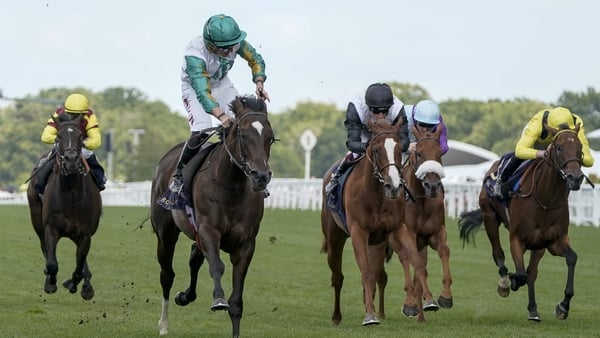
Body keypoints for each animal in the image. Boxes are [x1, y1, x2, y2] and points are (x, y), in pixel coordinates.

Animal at [26, 113, 102, 302]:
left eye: (80, 136)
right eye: (59, 137)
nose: (71, 160)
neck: (71, 195)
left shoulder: (85, 234)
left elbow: (78, 268)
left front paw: (77, 285)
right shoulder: (50, 228)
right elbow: (52, 263)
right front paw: (50, 283)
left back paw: (86, 284)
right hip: (36, 219)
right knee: (44, 248)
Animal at [150, 95, 274, 338]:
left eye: (271, 138)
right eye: (243, 135)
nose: (261, 177)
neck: (231, 185)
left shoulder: (246, 243)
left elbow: (236, 302)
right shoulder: (209, 231)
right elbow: (217, 266)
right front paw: (218, 299)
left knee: (194, 257)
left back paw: (185, 296)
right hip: (165, 234)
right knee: (167, 274)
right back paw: (163, 324)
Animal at [322, 115, 438, 324]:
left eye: (399, 150)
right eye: (376, 150)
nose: (393, 185)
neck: (375, 194)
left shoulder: (397, 228)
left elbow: (415, 263)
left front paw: (422, 304)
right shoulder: (359, 232)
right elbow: (367, 274)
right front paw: (370, 316)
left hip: (376, 242)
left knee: (383, 271)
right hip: (334, 238)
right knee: (338, 277)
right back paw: (337, 316)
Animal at [396, 123, 452, 316]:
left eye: (439, 153)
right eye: (419, 153)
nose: (432, 185)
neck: (421, 199)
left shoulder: (436, 232)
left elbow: (444, 251)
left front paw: (445, 296)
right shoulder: (408, 233)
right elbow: (419, 266)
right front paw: (429, 299)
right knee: (405, 259)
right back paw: (410, 303)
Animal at [460, 122, 584, 322]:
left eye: (580, 148)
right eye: (559, 147)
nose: (576, 178)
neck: (545, 199)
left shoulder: (554, 241)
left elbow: (571, 258)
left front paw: (563, 306)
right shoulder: (517, 239)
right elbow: (520, 274)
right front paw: (511, 282)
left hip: (539, 245)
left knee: (532, 272)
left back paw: (533, 309)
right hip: (489, 217)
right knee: (498, 254)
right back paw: (505, 283)